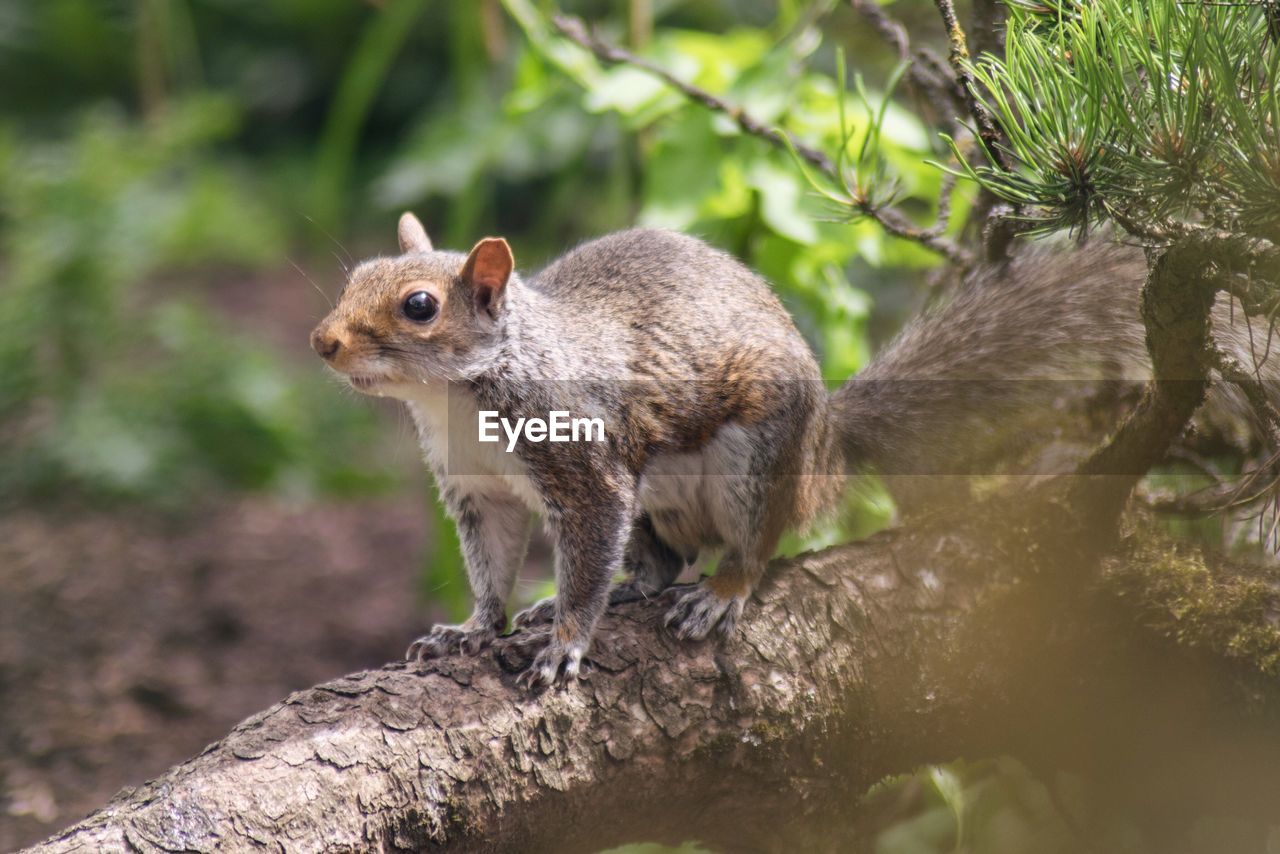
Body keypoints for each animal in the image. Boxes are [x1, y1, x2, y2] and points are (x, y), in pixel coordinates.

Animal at [309, 213, 1269, 686]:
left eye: (421, 306)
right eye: (355, 277)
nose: (322, 342)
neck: (454, 399)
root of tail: (826, 448)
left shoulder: (584, 468)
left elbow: (586, 553)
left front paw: (567, 643)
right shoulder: (481, 493)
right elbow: (491, 568)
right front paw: (476, 629)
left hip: (755, 459)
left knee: (752, 546)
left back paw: (718, 595)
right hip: (669, 503)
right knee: (658, 561)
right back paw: (634, 589)